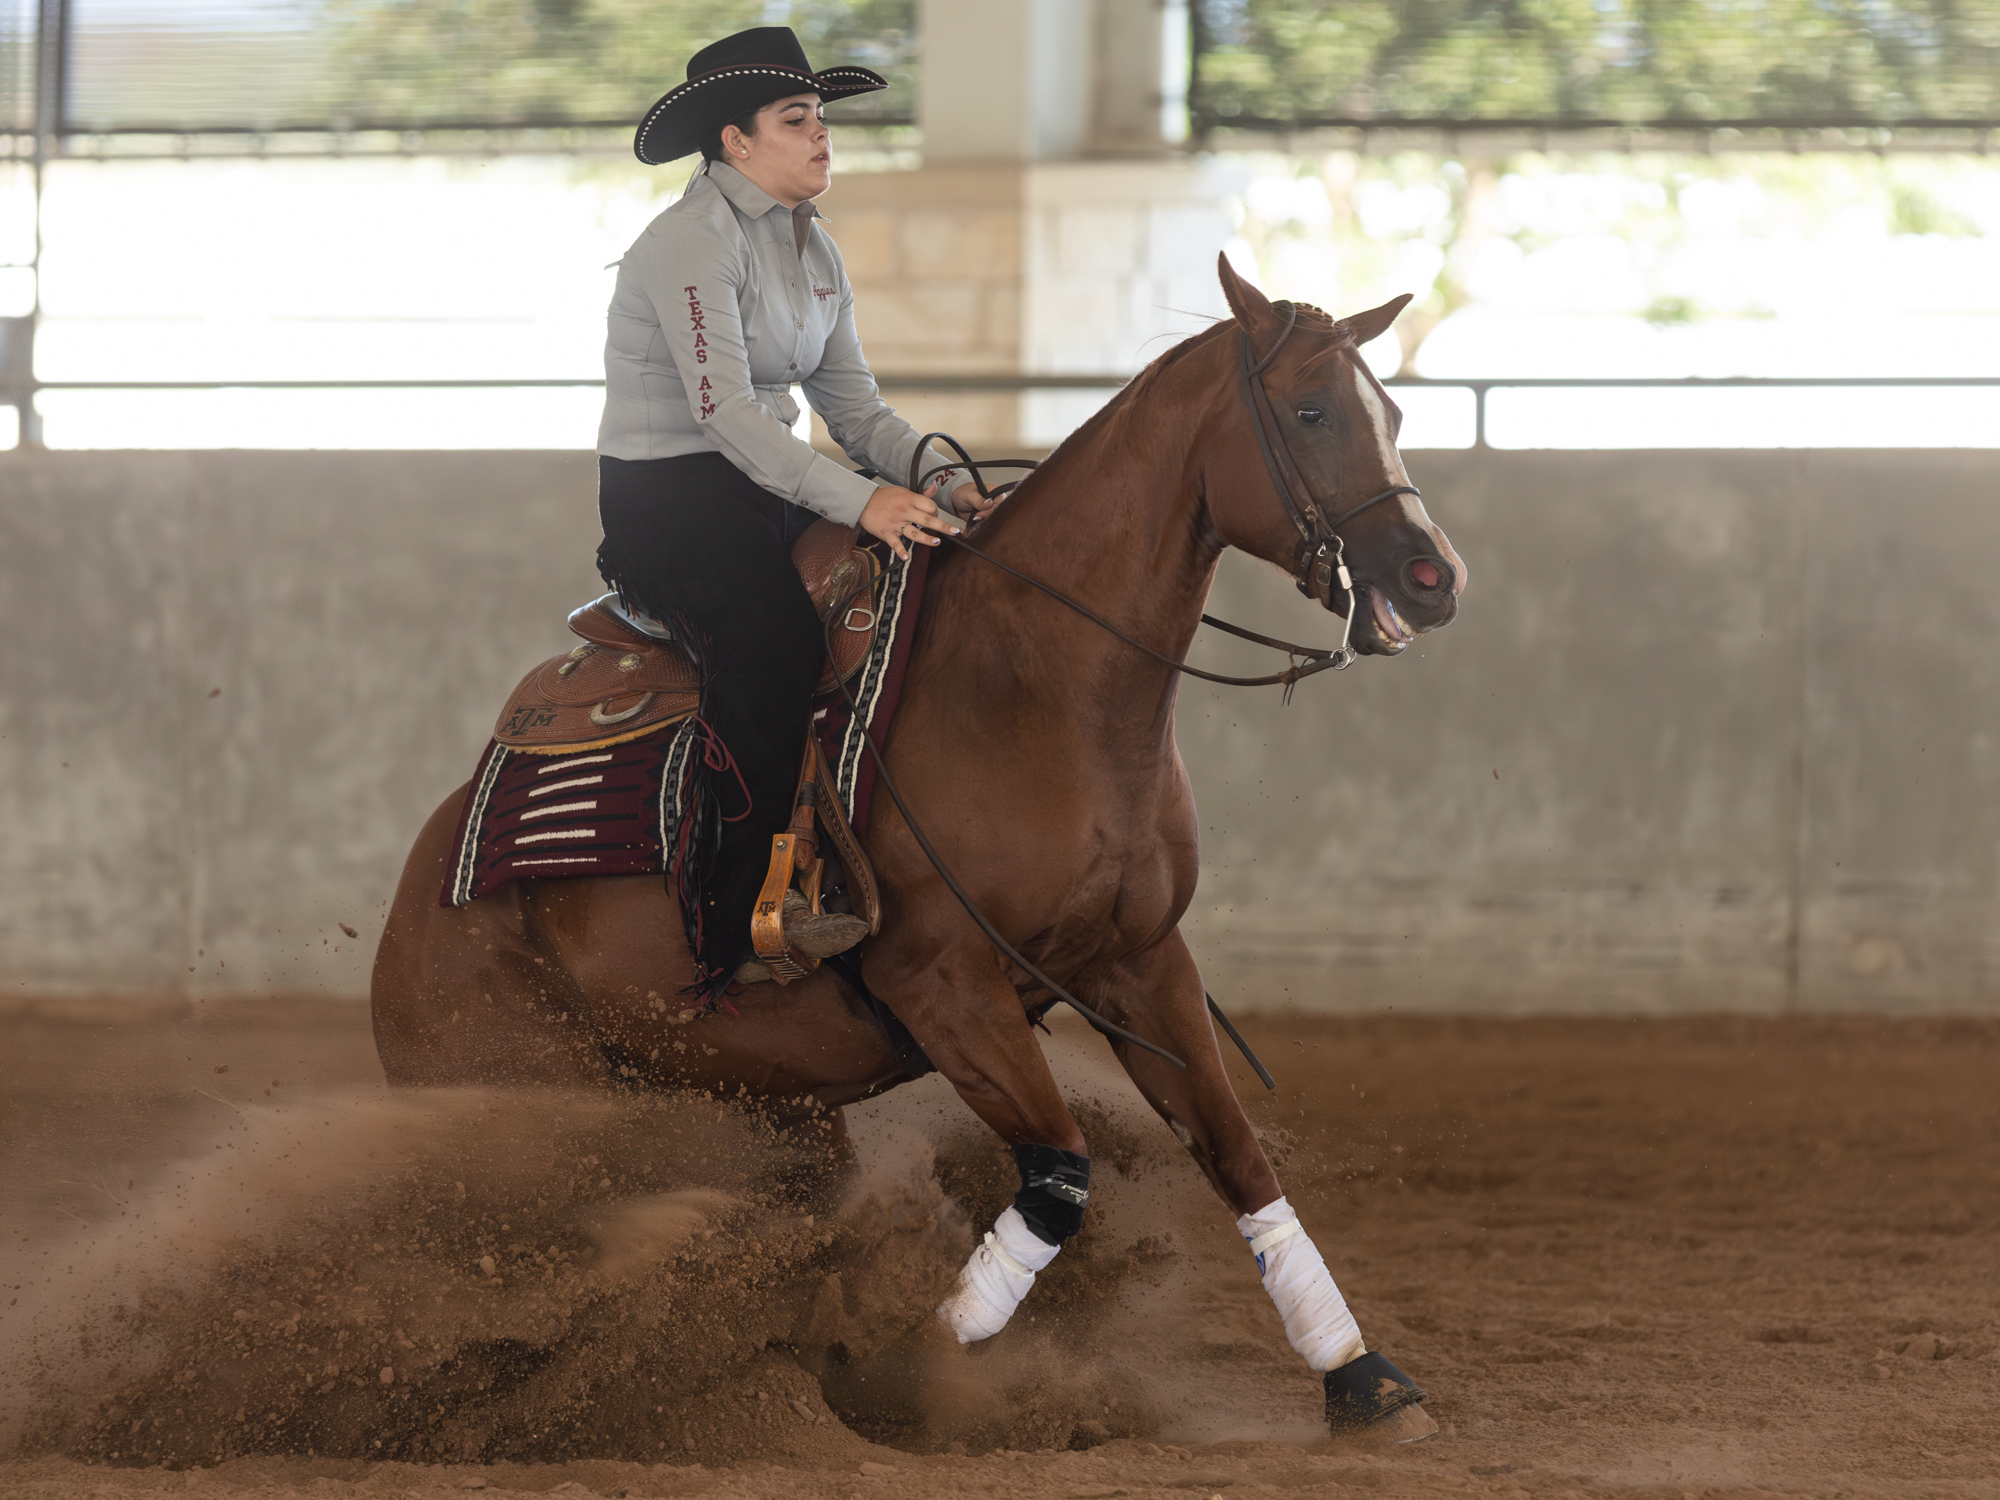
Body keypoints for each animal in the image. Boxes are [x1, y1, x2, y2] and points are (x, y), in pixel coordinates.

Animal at [372, 258, 1472, 1448]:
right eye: (1311, 411)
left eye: (1391, 411)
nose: (1432, 578)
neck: (1031, 685)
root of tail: (421, 895)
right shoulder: (943, 983)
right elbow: (1058, 1177)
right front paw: (913, 1368)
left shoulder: (1138, 963)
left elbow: (1234, 1150)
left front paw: (1361, 1377)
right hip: (509, 1106)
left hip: (758, 1104)